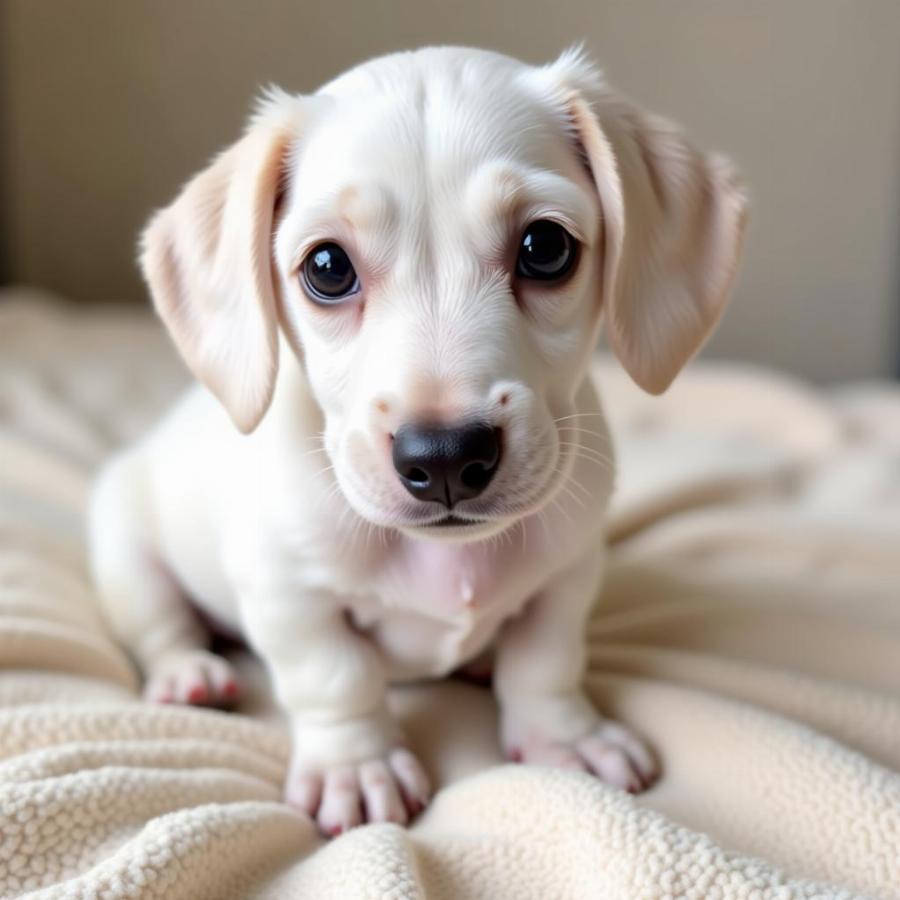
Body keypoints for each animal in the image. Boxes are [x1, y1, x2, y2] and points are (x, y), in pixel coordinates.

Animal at [88, 47, 748, 836]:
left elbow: (547, 658)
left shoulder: (569, 569)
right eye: (327, 267)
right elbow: (334, 676)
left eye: (546, 247)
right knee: (160, 628)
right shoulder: (285, 589)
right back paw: (191, 673)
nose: (445, 458)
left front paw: (564, 736)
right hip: (126, 554)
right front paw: (356, 764)